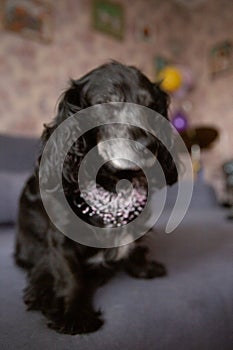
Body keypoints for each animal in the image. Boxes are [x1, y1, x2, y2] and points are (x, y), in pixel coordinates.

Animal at [15, 61, 177, 334]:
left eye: (152, 107)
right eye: (106, 103)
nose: (149, 145)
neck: (114, 185)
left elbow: (136, 247)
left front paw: (143, 267)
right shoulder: (61, 239)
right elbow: (70, 274)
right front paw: (74, 315)